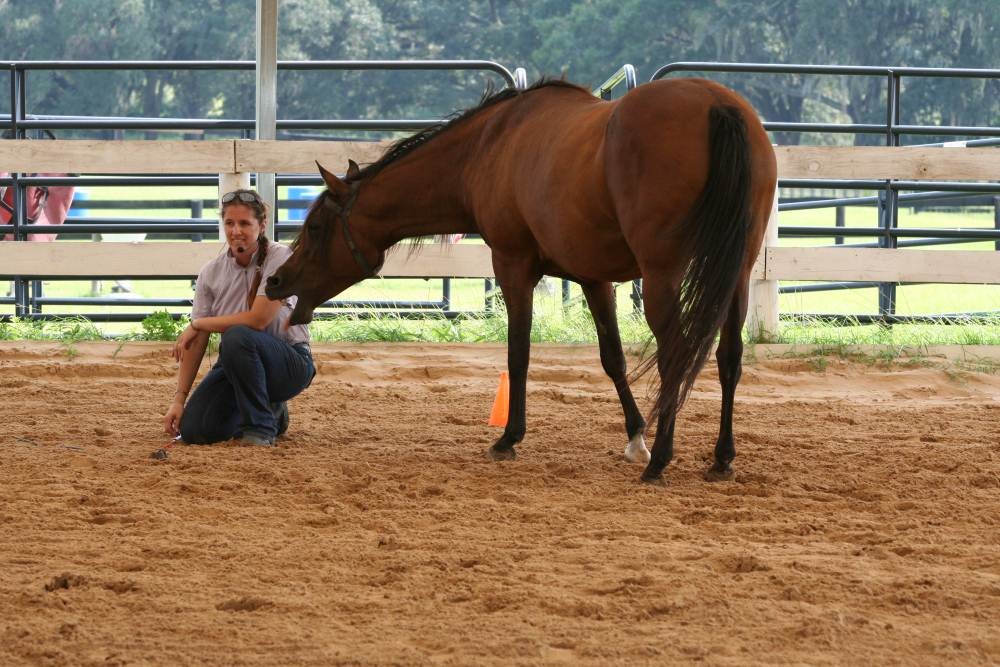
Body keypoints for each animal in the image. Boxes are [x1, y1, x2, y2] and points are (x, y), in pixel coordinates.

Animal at [265, 78, 777, 485]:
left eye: (315, 228)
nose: (274, 280)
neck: (489, 146)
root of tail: (718, 106)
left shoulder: (512, 267)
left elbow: (518, 354)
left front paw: (509, 437)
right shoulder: (592, 279)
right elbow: (612, 358)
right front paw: (635, 436)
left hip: (662, 277)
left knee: (675, 356)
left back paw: (663, 463)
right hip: (737, 274)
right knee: (730, 358)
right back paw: (721, 458)